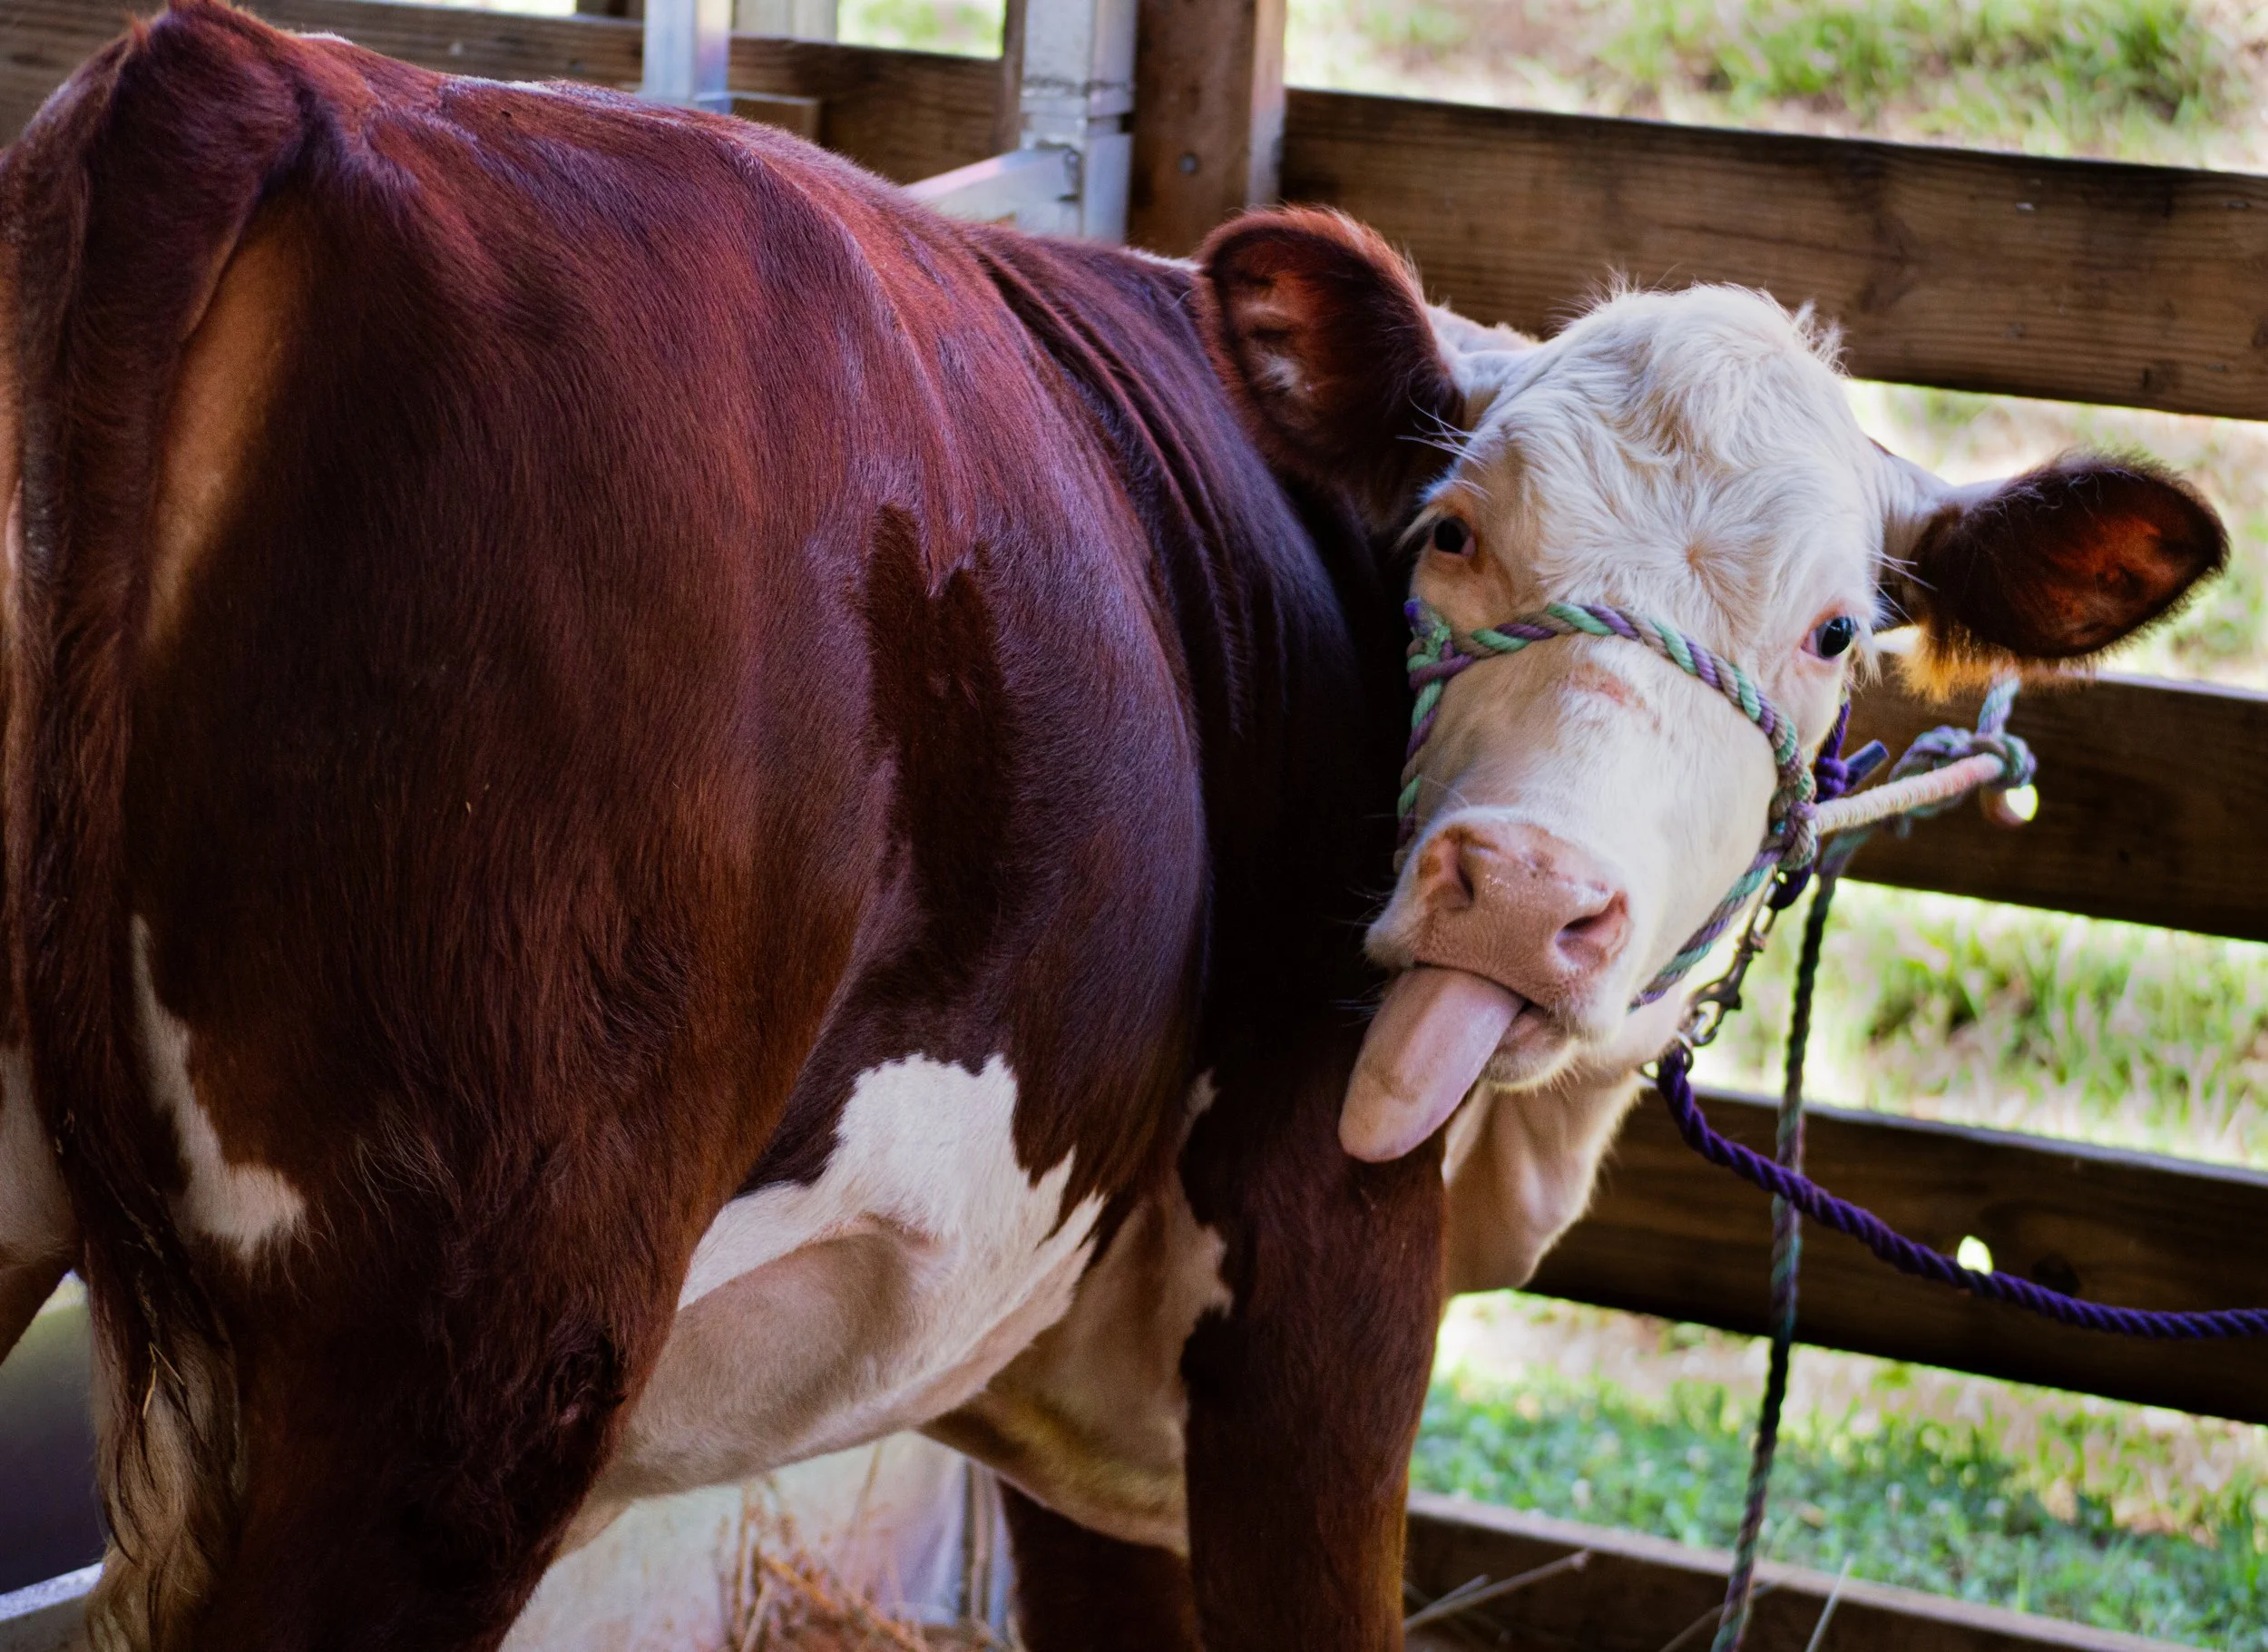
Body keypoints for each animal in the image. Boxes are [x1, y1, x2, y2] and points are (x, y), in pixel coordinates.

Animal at [0, 5, 2223, 1650]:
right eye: (1450, 530)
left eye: (1838, 625)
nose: (1516, 895)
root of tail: (257, 75)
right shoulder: (1316, 1307)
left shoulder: (1087, 1425)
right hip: (471, 1334)